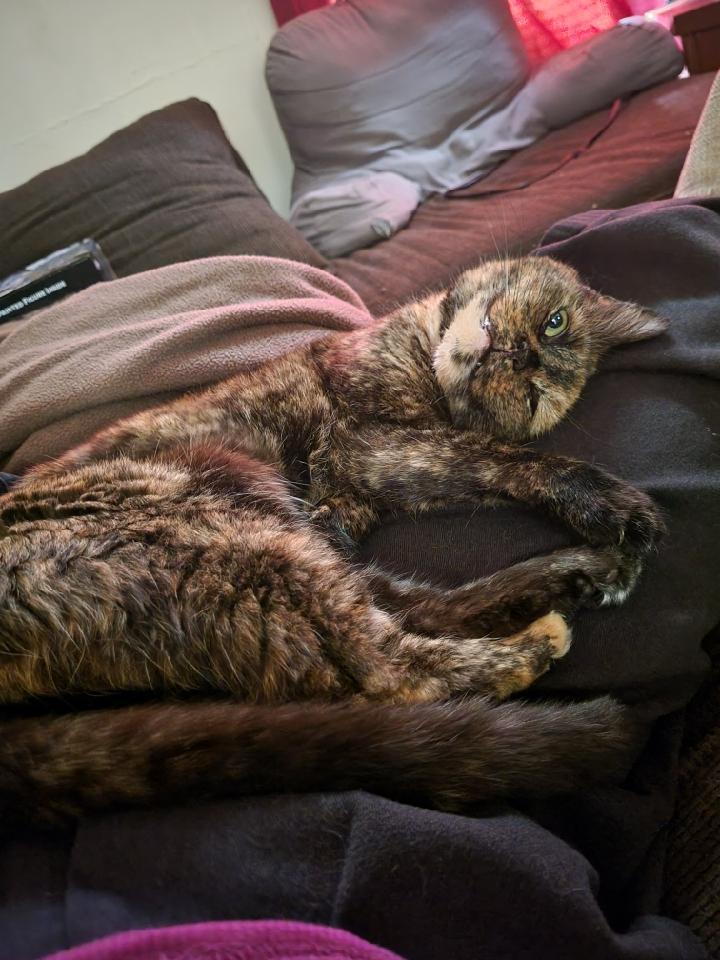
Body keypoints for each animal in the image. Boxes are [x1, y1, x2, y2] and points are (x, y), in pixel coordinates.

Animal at [0, 255, 667, 829]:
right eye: (553, 321)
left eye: (533, 392)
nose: (515, 350)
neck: (423, 353)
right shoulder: (371, 443)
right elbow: (494, 458)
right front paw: (609, 502)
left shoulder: (367, 482)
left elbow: (476, 467)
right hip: (229, 530)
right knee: (390, 667)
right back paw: (541, 636)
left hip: (257, 534)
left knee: (400, 616)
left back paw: (583, 576)